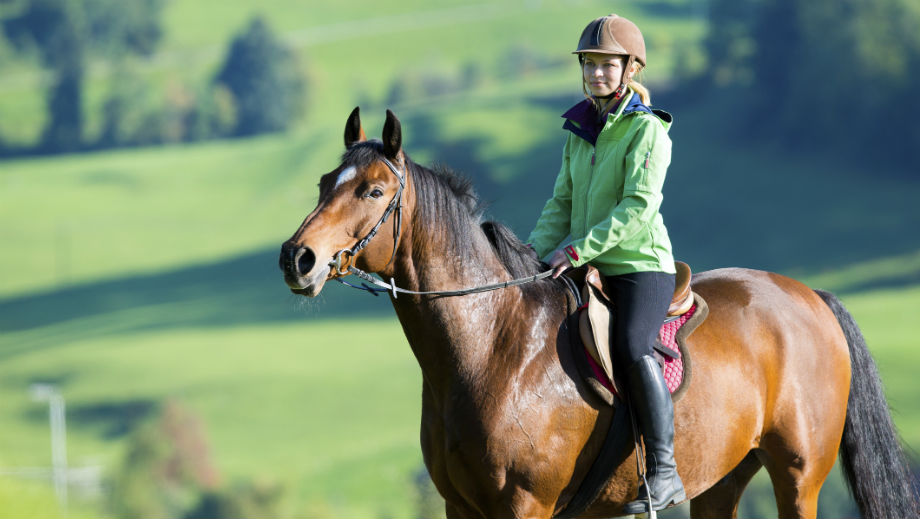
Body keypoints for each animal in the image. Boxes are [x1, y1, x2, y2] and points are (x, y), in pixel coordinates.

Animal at [280, 107, 920, 516]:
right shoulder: (459, 506)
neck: (492, 346)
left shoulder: (524, 505)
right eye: (324, 182)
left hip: (797, 477)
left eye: (372, 191)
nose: (297, 258)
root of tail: (811, 297)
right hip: (722, 479)